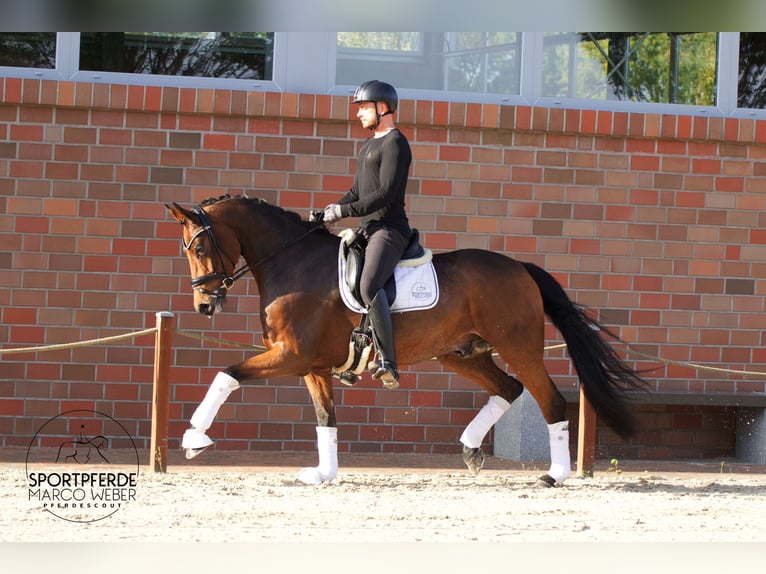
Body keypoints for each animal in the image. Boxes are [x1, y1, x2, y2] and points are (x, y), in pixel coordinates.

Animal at [166, 196, 648, 488]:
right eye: (187, 250)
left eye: (200, 248)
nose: (204, 305)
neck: (291, 262)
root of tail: (520, 268)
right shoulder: (312, 366)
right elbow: (325, 418)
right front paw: (324, 473)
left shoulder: (290, 356)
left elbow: (226, 375)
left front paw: (193, 439)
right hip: (460, 354)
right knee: (508, 389)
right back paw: (471, 449)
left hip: (519, 348)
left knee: (549, 400)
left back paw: (554, 474)